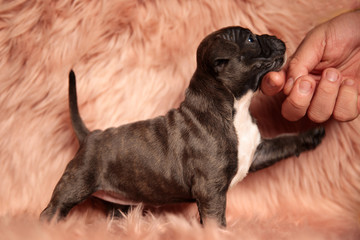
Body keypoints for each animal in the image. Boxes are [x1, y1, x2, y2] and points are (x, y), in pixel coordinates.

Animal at [40, 26, 324, 227]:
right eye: (252, 40)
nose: (276, 37)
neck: (236, 107)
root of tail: (89, 136)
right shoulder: (210, 190)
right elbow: (215, 220)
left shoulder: (256, 151)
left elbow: (283, 140)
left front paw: (311, 135)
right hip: (75, 184)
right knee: (52, 210)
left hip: (116, 200)